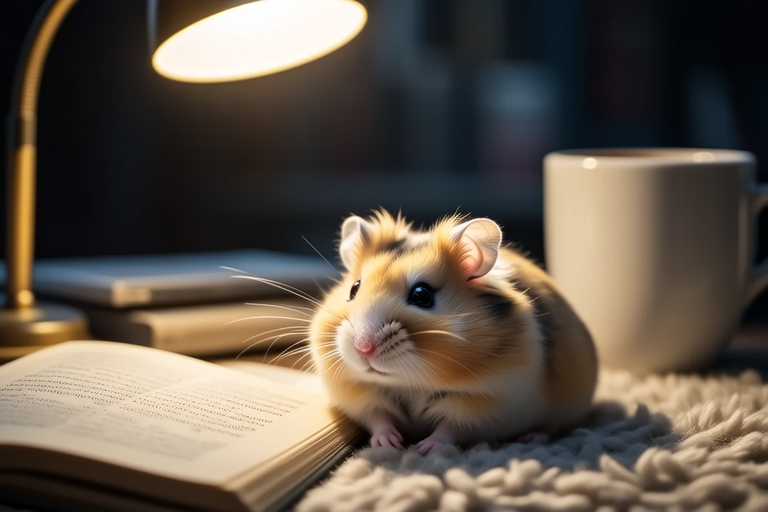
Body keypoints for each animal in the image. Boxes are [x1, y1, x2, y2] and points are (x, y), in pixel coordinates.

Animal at [309, 210, 597, 455]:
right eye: (354, 288)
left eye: (422, 295)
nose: (363, 348)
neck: (409, 383)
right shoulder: (359, 395)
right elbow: (379, 418)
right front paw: (389, 444)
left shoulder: (490, 404)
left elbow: (451, 428)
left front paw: (423, 448)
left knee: (551, 429)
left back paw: (531, 438)